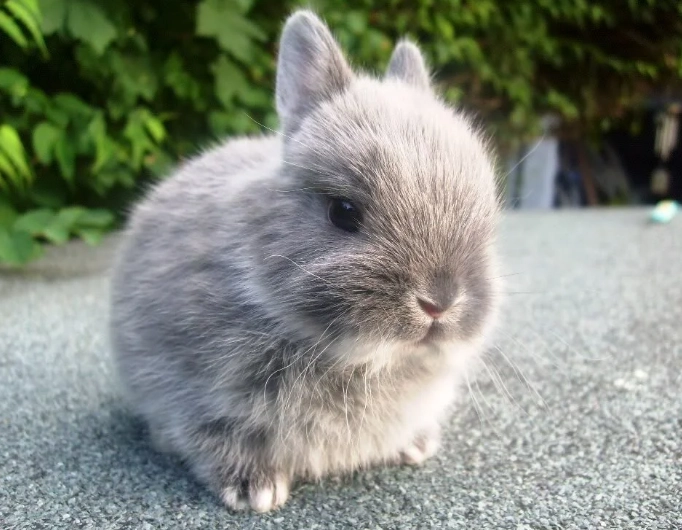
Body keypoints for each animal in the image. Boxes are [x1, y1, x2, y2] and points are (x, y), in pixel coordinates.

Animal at [109, 9, 502, 513]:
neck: (362, 358)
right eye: (343, 212)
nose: (439, 302)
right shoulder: (195, 394)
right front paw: (254, 490)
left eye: (486, 214)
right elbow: (213, 436)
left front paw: (417, 445)